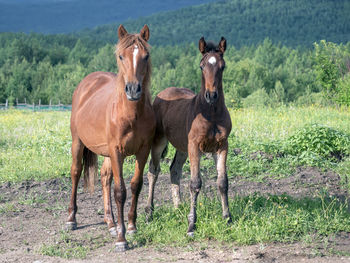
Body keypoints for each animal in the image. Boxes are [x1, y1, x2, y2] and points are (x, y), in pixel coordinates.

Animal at [66, 25, 155, 254]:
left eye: (146, 56)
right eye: (121, 56)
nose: (133, 90)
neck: (130, 114)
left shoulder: (143, 150)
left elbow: (135, 185)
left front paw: (130, 227)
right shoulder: (117, 152)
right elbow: (119, 191)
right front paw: (122, 240)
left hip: (106, 152)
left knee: (105, 177)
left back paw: (111, 223)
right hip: (78, 142)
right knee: (76, 172)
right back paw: (71, 219)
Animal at [146, 36, 231, 236]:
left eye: (222, 66)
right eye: (201, 66)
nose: (211, 95)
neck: (211, 115)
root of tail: (162, 94)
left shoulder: (222, 146)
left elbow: (222, 182)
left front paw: (228, 219)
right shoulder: (195, 146)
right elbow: (195, 183)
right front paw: (192, 224)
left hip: (182, 147)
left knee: (174, 170)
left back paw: (178, 208)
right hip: (159, 142)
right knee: (153, 171)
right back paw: (149, 213)